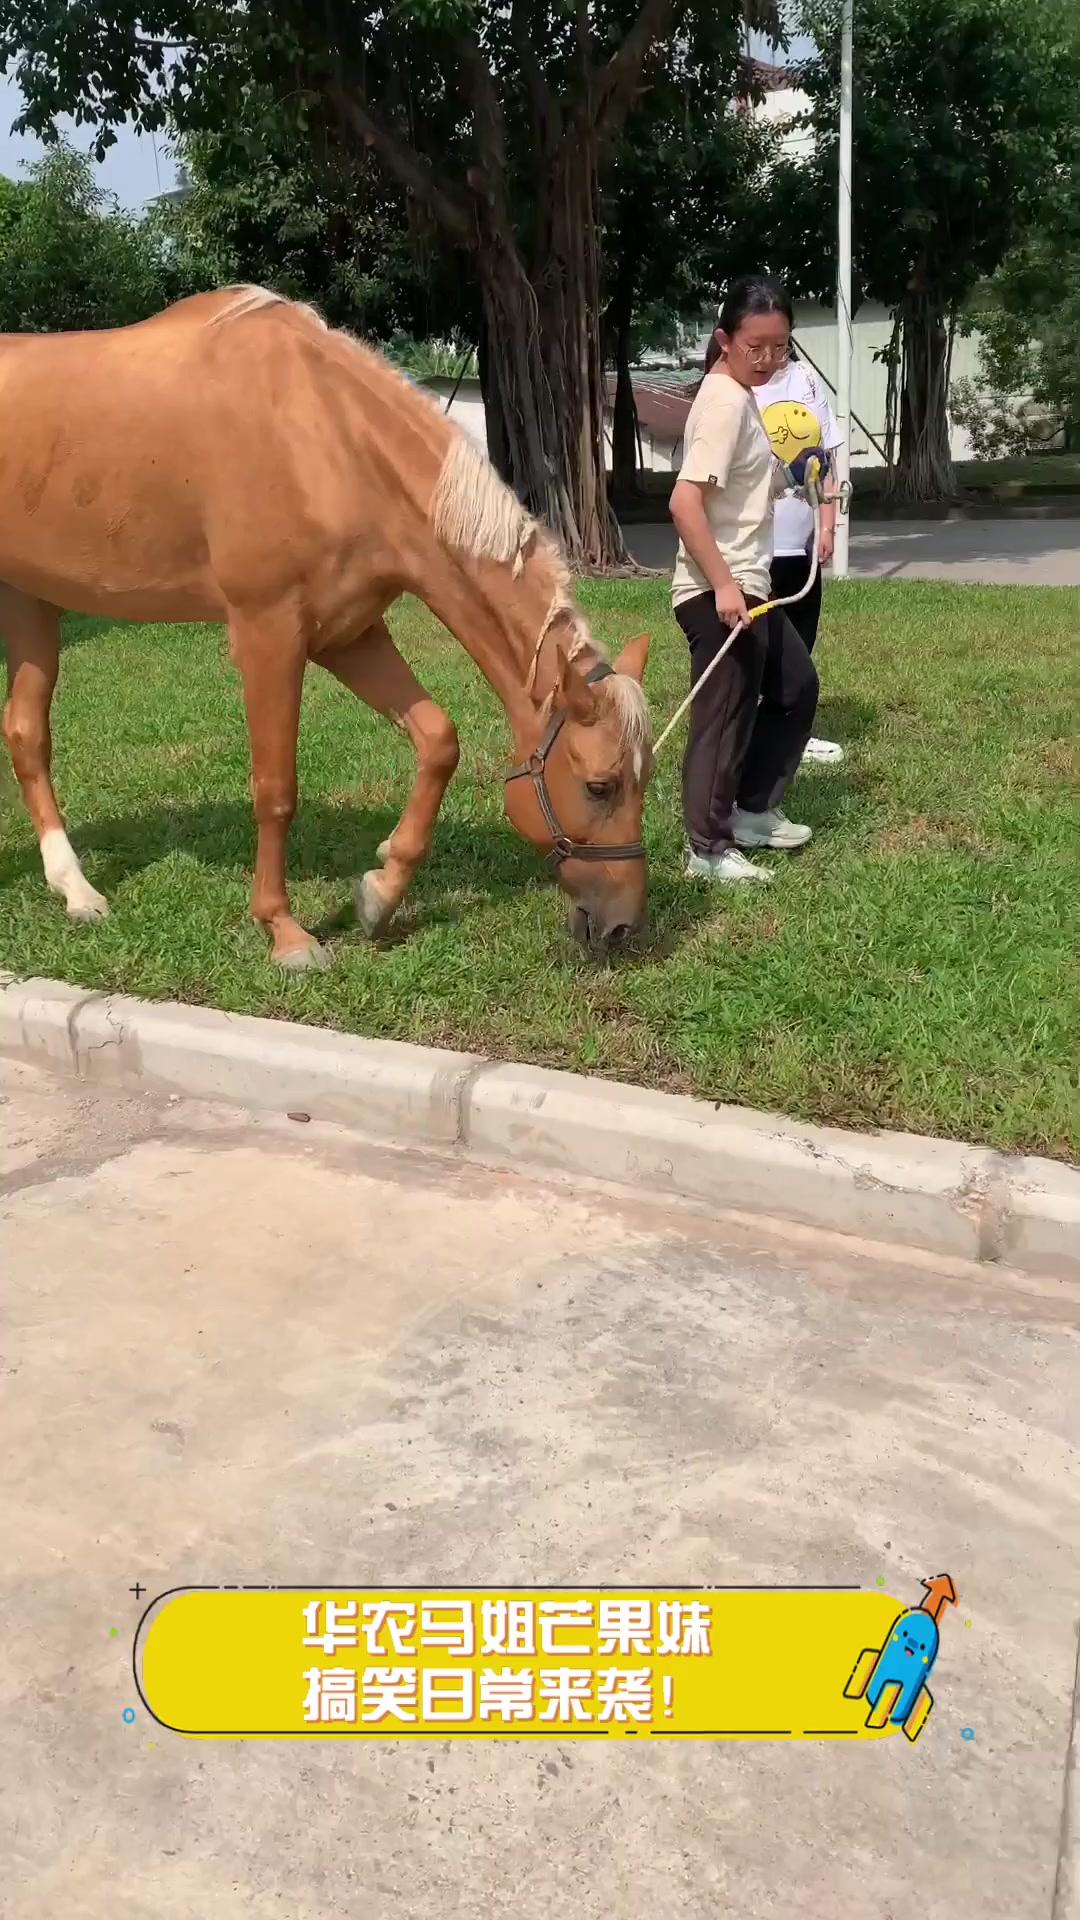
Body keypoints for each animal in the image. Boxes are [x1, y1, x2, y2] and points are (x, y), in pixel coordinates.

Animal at [0, 286, 652, 968]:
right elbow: (276, 787)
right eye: (600, 786)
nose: (622, 927)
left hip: (27, 599)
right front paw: (285, 931)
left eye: (646, 780)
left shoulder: (348, 634)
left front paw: (380, 892)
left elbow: (438, 741)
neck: (328, 438)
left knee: (25, 735)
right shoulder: (269, 635)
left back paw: (75, 890)